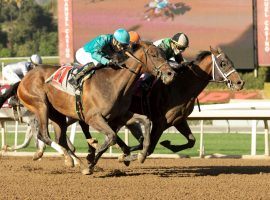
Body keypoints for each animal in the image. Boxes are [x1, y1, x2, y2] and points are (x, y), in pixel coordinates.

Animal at [16, 41, 175, 174]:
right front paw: (92, 157)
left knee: (60, 139)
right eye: (153, 55)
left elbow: (145, 121)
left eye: (164, 55)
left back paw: (75, 161)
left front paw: (141, 155)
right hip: (40, 105)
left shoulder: (119, 116)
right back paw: (68, 158)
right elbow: (111, 137)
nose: (170, 73)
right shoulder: (93, 118)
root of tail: (25, 78)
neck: (113, 83)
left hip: (57, 114)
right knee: (43, 134)